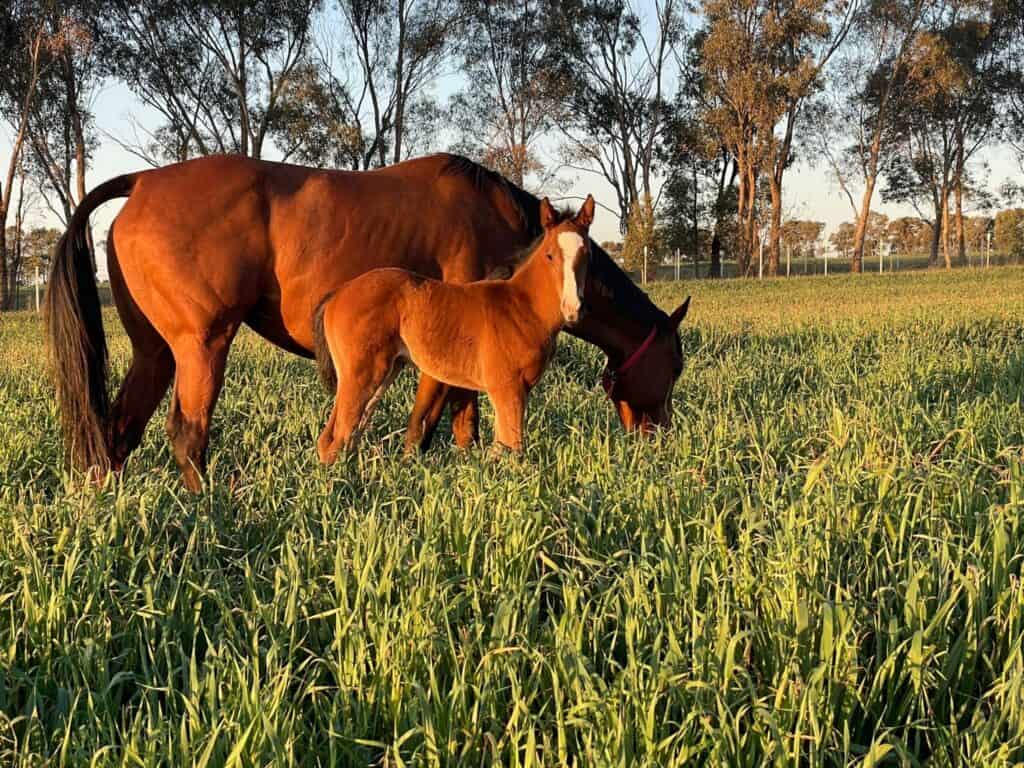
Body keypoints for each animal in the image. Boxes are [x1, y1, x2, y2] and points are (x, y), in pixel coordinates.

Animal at [315, 195, 602, 462]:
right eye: (550, 255)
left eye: (587, 255)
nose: (573, 308)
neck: (522, 306)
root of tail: (338, 293)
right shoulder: (506, 389)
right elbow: (513, 450)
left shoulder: (519, 391)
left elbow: (500, 448)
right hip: (361, 375)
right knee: (336, 438)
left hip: (385, 373)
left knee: (346, 435)